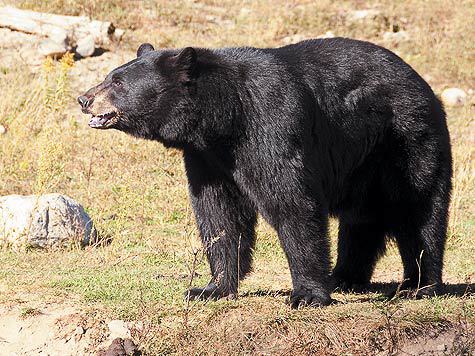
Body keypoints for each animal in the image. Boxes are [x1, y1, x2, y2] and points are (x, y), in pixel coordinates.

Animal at [79, 38, 454, 306]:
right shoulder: (207, 158)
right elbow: (219, 213)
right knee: (362, 220)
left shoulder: (270, 123)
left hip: (407, 140)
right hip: (363, 164)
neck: (225, 118)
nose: (84, 99)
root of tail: (423, 83)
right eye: (109, 76)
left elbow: (290, 200)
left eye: (117, 82)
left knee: (420, 211)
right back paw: (345, 277)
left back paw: (420, 285)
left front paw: (307, 294)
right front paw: (210, 287)